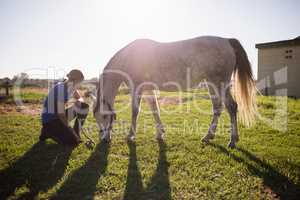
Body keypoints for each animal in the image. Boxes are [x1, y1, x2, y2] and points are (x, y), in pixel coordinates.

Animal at [92, 35, 256, 148]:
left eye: (103, 116)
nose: (104, 139)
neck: (130, 57)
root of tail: (227, 41)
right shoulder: (148, 90)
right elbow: (154, 109)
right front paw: (160, 133)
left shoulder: (137, 88)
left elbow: (135, 111)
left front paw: (130, 136)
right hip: (215, 85)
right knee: (223, 108)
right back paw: (217, 137)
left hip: (218, 84)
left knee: (227, 107)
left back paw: (226, 140)